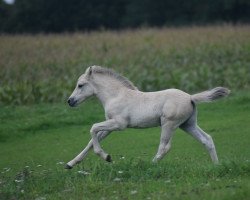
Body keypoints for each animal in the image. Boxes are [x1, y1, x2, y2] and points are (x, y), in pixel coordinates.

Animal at [65, 65, 230, 169]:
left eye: (80, 85)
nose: (70, 101)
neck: (116, 95)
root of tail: (190, 97)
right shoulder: (110, 126)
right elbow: (91, 142)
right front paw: (70, 164)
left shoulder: (119, 124)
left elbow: (93, 129)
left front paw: (107, 157)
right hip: (188, 125)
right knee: (207, 139)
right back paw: (216, 166)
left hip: (169, 124)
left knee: (165, 147)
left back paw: (149, 165)